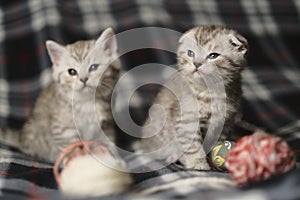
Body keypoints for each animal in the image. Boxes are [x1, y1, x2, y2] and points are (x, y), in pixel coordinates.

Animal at [0, 27, 119, 162]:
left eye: (93, 67)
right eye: (72, 72)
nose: (83, 79)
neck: (87, 102)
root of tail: (21, 136)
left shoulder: (106, 127)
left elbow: (107, 142)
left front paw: (112, 158)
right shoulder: (64, 131)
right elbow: (72, 148)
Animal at [135, 24, 247, 169]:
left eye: (213, 55)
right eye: (190, 53)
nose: (197, 64)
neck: (210, 91)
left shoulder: (224, 123)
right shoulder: (188, 121)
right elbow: (193, 146)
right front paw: (198, 163)